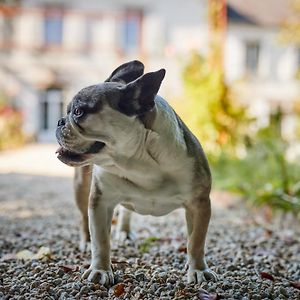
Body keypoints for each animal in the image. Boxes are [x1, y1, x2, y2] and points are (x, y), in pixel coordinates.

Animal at [55, 59, 217, 284]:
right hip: (81, 187)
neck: (138, 161)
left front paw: (198, 270)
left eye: (79, 112)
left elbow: (196, 241)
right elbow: (101, 241)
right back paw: (87, 240)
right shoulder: (101, 201)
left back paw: (124, 232)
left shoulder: (198, 203)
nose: (60, 121)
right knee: (84, 219)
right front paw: (100, 270)